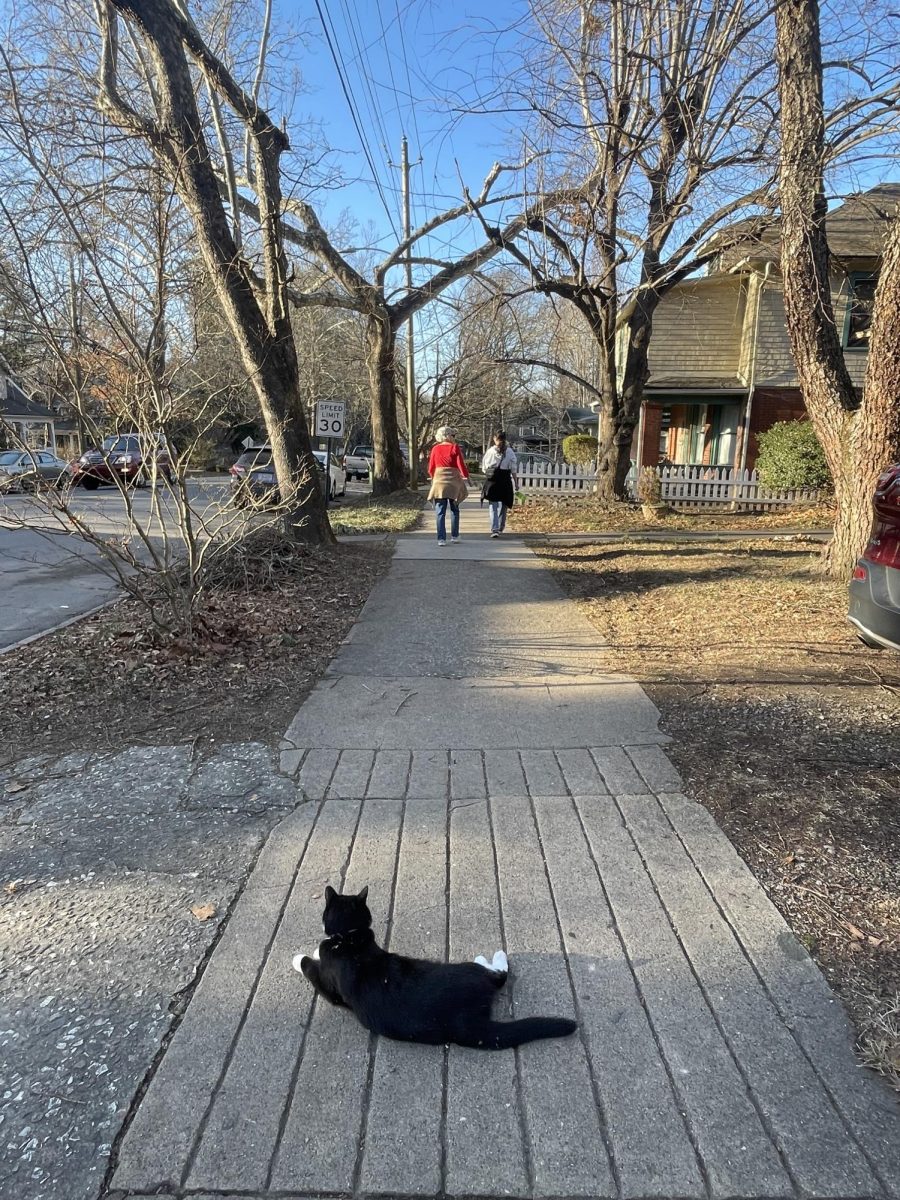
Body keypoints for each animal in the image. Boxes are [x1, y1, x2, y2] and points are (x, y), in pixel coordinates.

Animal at [292, 883, 580, 1051]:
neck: (348, 938)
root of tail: (465, 1021)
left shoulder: (329, 990)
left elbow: (307, 963)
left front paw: (299, 956)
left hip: (467, 970)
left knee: (499, 975)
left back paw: (492, 956)